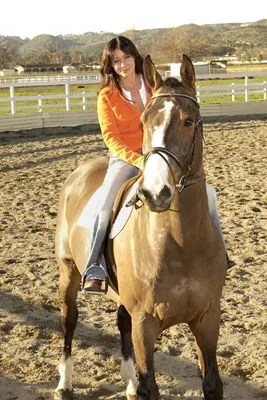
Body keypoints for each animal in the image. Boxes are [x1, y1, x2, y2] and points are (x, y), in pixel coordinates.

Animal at [54, 54, 228, 400]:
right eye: (145, 122)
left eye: (189, 121)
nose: (154, 192)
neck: (180, 243)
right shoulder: (145, 323)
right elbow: (151, 384)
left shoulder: (207, 319)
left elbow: (211, 382)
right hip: (68, 270)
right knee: (69, 320)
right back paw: (64, 383)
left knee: (121, 321)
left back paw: (129, 383)